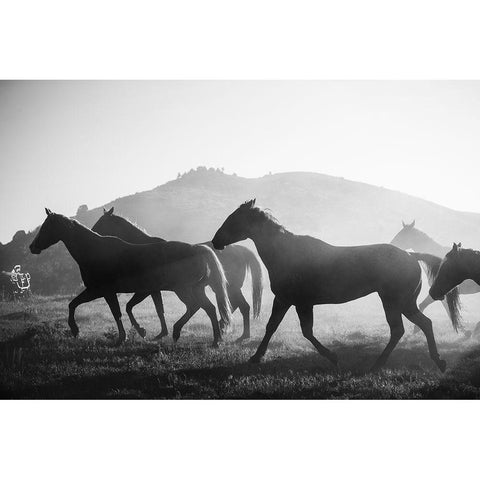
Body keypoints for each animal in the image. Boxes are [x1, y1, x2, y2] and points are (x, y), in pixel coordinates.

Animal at [30, 209, 232, 344]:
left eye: (47, 227)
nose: (32, 247)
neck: (95, 252)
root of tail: (198, 249)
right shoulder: (105, 291)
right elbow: (75, 304)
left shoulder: (103, 291)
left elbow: (116, 312)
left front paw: (122, 337)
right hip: (194, 289)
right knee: (208, 308)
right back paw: (214, 340)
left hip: (183, 289)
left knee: (197, 306)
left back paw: (182, 333)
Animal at [92, 206, 264, 342]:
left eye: (102, 222)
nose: (93, 232)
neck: (143, 248)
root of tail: (242, 250)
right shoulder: (155, 290)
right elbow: (159, 309)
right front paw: (162, 333)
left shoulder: (150, 289)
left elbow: (153, 308)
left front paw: (158, 333)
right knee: (239, 306)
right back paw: (232, 331)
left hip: (228, 287)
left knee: (240, 306)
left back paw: (235, 333)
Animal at [211, 199, 462, 372]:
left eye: (235, 218)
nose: (216, 241)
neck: (286, 253)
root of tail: (411, 256)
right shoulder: (287, 301)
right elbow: (274, 327)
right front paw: (256, 357)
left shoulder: (297, 302)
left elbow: (304, 331)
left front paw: (333, 357)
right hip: (402, 303)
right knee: (417, 326)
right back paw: (431, 362)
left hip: (396, 302)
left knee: (405, 328)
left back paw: (382, 364)